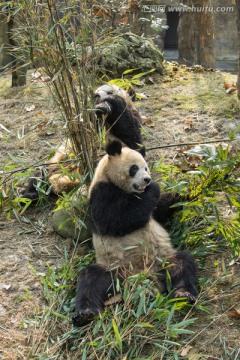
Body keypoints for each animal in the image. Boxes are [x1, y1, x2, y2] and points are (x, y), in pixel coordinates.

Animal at [72, 140, 198, 326]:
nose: (147, 179)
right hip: (114, 268)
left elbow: (158, 210)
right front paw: (154, 187)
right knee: (91, 280)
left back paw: (183, 295)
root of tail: (142, 276)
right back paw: (85, 314)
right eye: (134, 168)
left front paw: (180, 195)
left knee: (183, 266)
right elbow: (118, 219)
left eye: (146, 168)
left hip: (163, 260)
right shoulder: (101, 193)